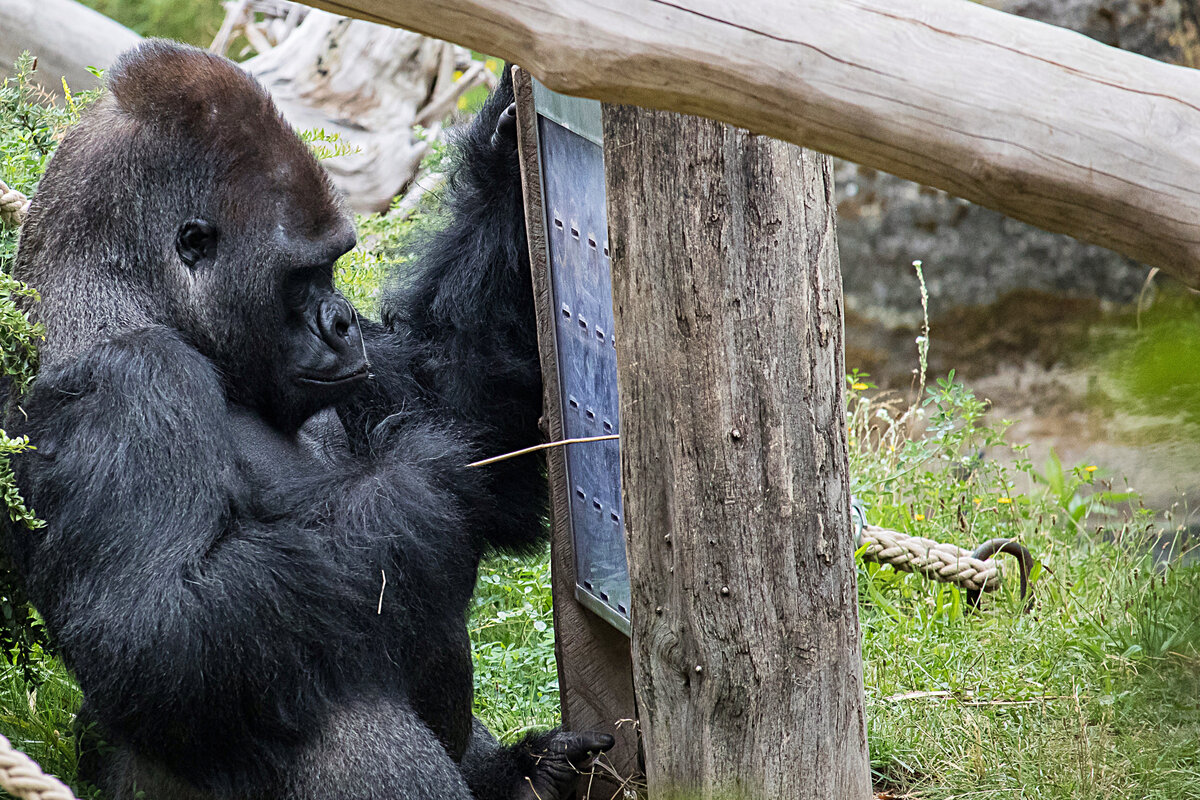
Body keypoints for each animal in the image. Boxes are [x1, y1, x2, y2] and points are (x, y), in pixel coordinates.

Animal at [2, 38, 609, 800]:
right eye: (302, 275)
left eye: (335, 264)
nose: (344, 321)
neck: (120, 291)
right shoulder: (127, 380)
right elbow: (158, 630)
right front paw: (421, 483)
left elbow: (464, 395)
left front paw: (505, 146)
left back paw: (526, 775)